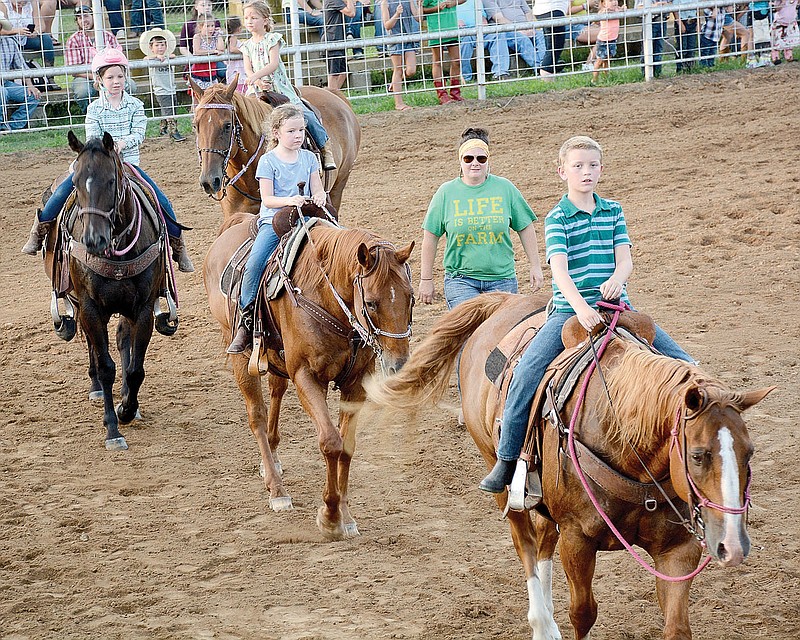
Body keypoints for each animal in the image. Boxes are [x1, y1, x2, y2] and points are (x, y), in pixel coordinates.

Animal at [203, 215, 416, 540]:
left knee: (276, 391)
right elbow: (330, 442)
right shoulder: (307, 377)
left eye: (411, 299)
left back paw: (273, 460)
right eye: (371, 303)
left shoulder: (356, 384)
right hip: (240, 354)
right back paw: (277, 490)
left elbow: (347, 447)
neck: (329, 301)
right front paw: (330, 517)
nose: (398, 364)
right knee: (257, 416)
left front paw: (346, 516)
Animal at [368, 294, 776, 640]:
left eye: (750, 452)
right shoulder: (578, 539)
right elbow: (583, 612)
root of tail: (503, 301)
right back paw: (542, 623)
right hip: (500, 477)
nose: (733, 546)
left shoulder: (678, 550)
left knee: (544, 542)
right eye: (698, 455)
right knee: (527, 545)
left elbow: (677, 627)